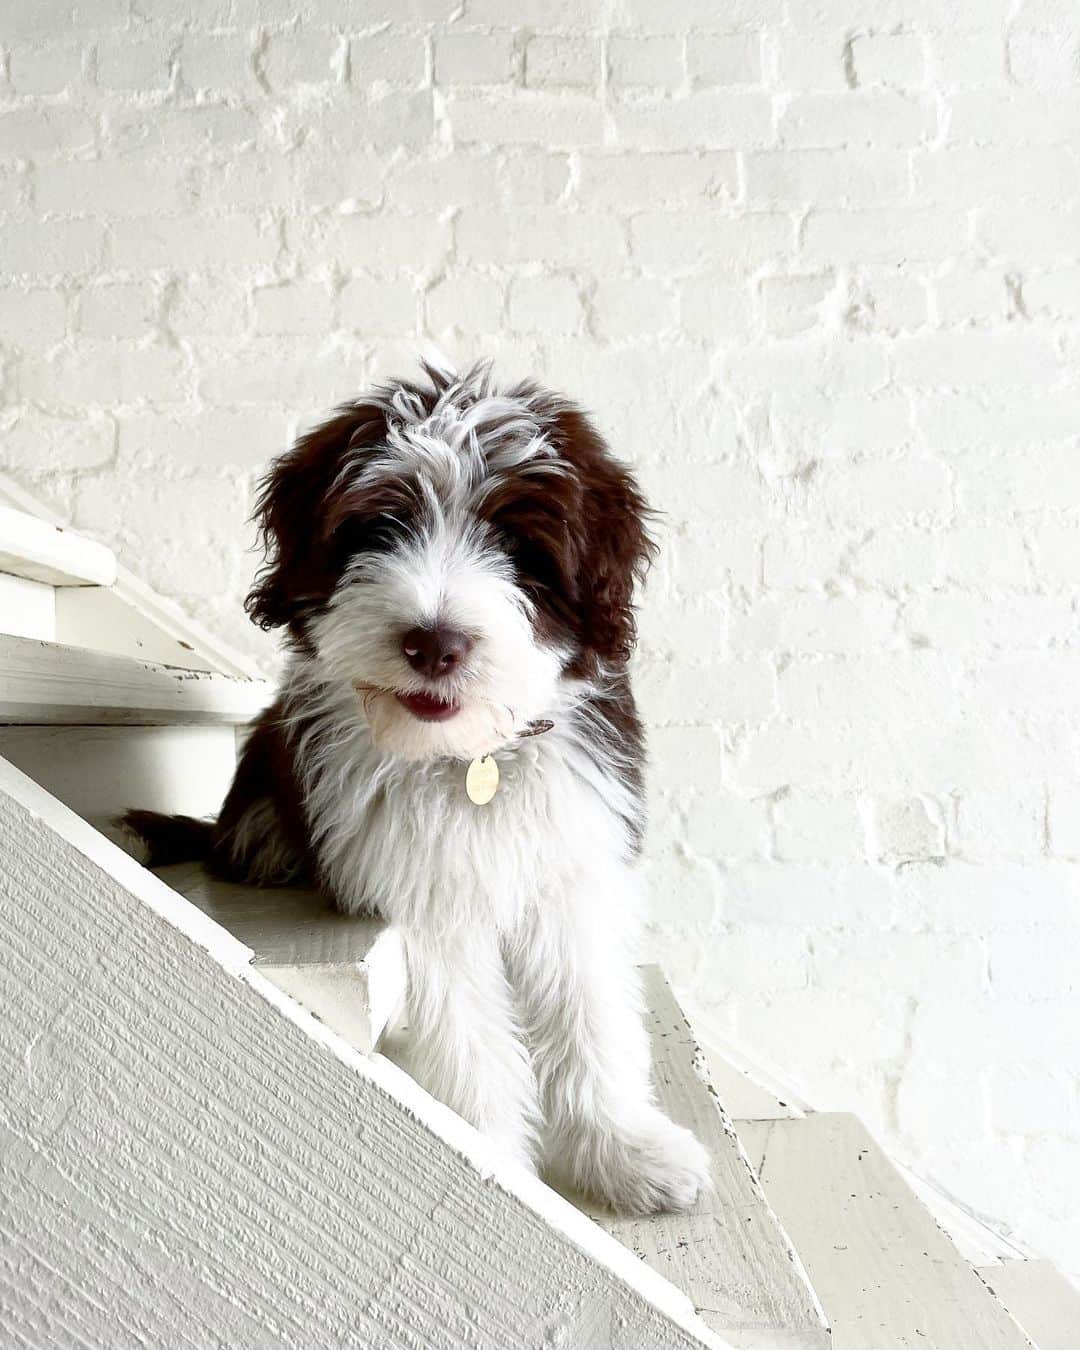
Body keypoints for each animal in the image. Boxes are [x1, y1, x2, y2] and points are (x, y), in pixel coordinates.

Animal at [124, 359, 707, 1215]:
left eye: (517, 546)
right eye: (379, 528)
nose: (434, 643)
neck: (466, 762)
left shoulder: (574, 868)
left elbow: (590, 1011)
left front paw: (624, 1150)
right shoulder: (425, 898)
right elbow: (471, 1044)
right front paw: (502, 1174)